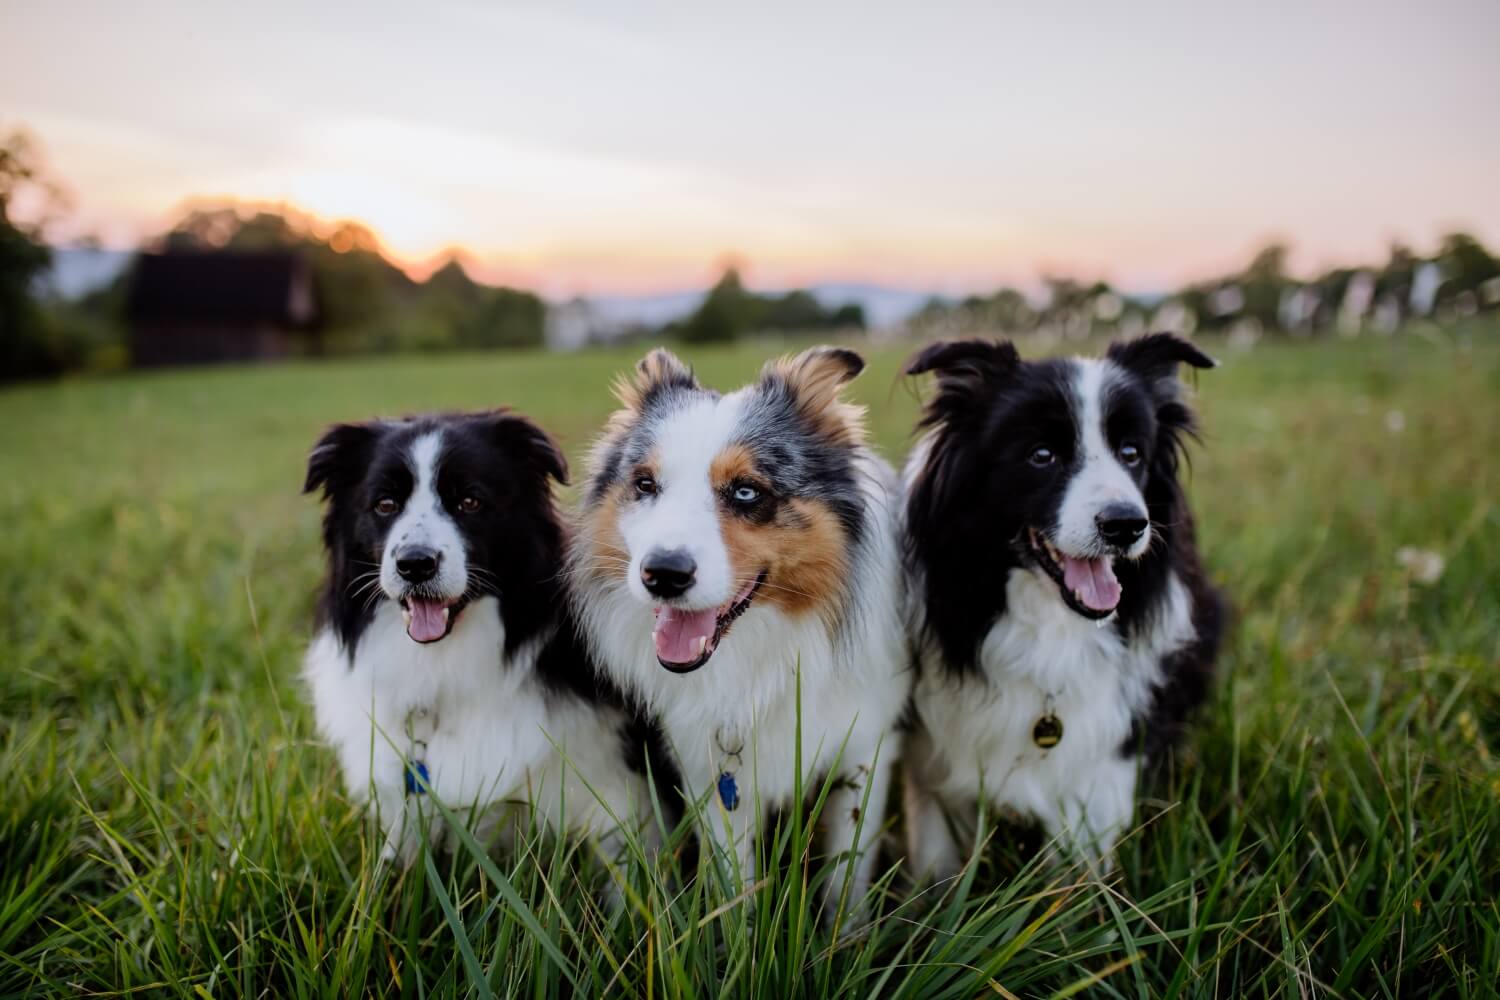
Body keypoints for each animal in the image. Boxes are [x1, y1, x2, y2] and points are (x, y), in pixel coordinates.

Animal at [894, 332, 1224, 869]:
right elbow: (936, 869)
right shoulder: (934, 767)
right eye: (1042, 455)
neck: (1050, 625)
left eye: (1132, 453)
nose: (1126, 524)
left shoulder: (1100, 772)